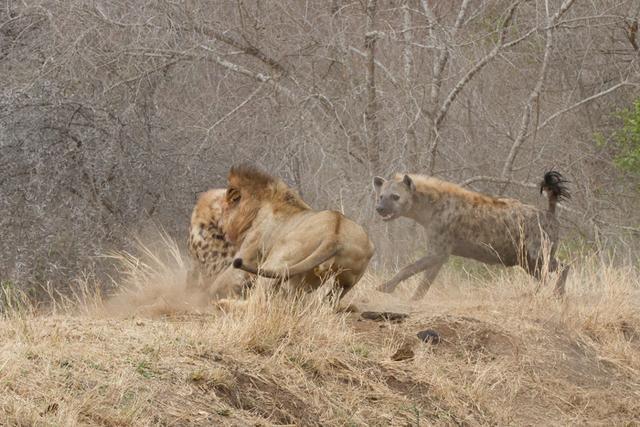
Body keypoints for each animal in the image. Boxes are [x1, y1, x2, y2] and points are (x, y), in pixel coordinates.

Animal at [220, 164, 376, 300]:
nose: (221, 226)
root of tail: (334, 235)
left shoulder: (249, 251)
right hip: (344, 282)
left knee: (257, 299)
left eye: (225, 208)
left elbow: (223, 280)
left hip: (277, 261)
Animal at [372, 171, 572, 300]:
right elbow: (426, 280)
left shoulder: (440, 249)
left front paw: (384, 287)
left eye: (395, 197)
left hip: (533, 252)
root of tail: (549, 213)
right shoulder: (440, 252)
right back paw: (556, 295)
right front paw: (413, 298)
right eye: (381, 196)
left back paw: (537, 294)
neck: (430, 209)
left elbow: (409, 268)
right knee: (556, 269)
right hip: (524, 258)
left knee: (554, 269)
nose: (379, 208)